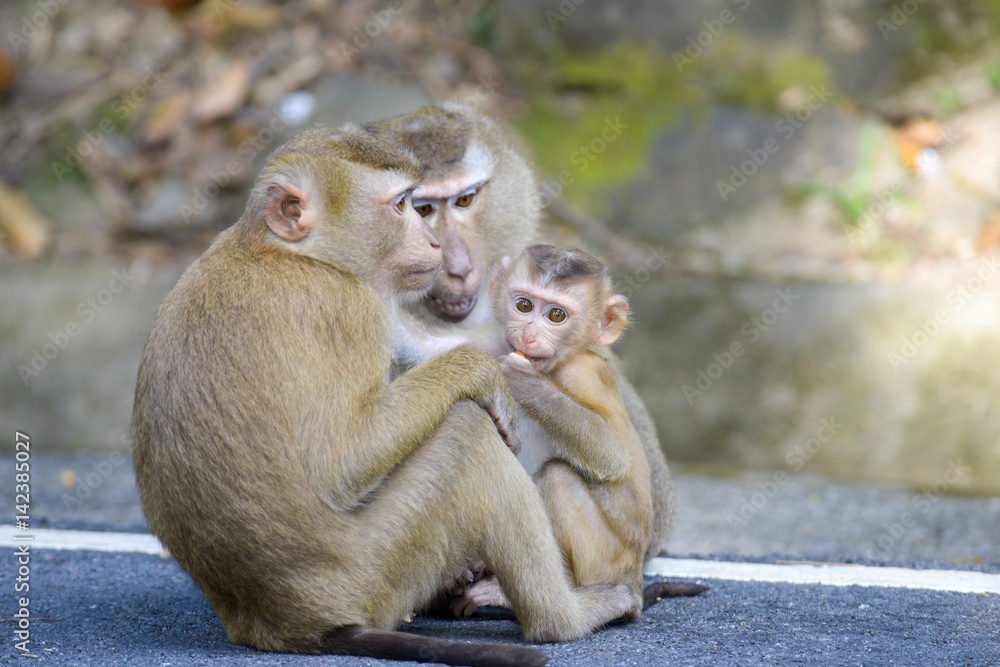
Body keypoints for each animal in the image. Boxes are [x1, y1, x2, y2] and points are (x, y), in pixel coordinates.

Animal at [454, 244, 656, 616]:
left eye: (556, 316)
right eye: (524, 305)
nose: (528, 335)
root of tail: (636, 577)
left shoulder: (584, 373)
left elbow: (611, 454)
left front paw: (525, 382)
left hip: (606, 560)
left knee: (558, 477)